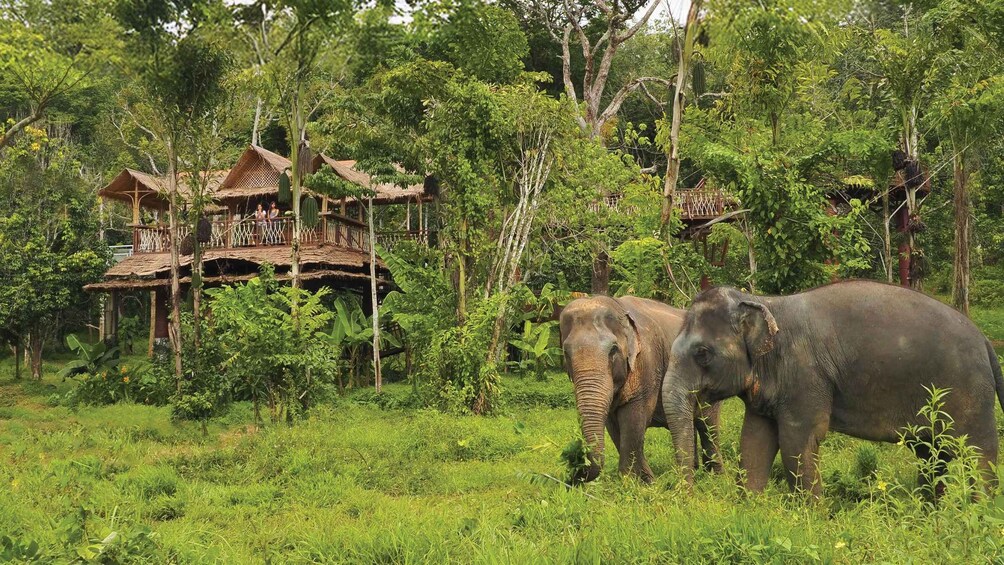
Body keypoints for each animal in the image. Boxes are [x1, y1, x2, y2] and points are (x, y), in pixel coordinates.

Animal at [559, 295, 723, 483]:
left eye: (613, 349)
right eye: (566, 352)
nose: (572, 474)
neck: (617, 305)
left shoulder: (647, 362)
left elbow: (634, 418)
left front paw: (634, 482)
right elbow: (613, 425)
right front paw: (646, 481)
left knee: (707, 423)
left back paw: (715, 478)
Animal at [662, 280, 1004, 497]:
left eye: (702, 353)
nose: (690, 496)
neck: (764, 301)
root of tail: (986, 342)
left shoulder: (804, 376)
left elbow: (797, 440)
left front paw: (809, 517)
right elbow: (754, 441)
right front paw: (750, 509)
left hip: (970, 393)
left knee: (976, 453)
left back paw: (977, 513)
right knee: (932, 452)